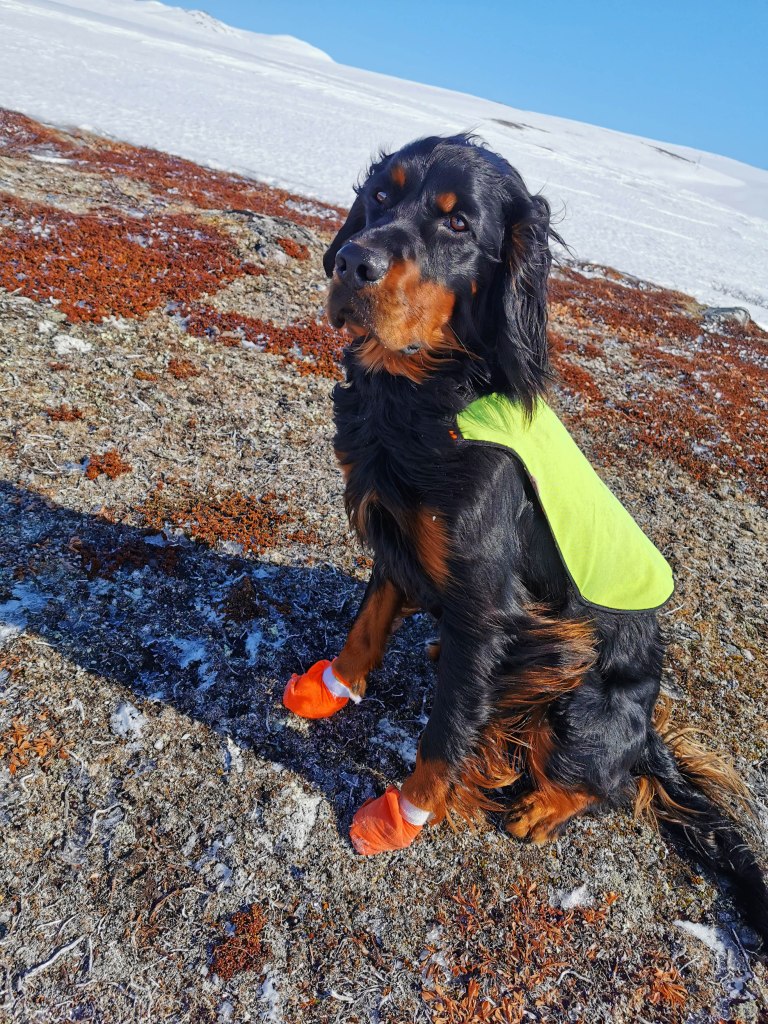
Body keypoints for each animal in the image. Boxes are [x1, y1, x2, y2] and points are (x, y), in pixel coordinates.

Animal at [283, 134, 767, 945]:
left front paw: (405, 815)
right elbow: (367, 624)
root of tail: (648, 732)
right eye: (382, 195)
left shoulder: (487, 599)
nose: (352, 262)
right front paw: (331, 688)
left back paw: (544, 806)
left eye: (457, 225)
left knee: (611, 782)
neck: (427, 394)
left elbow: (447, 731)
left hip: (577, 701)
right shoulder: (401, 538)